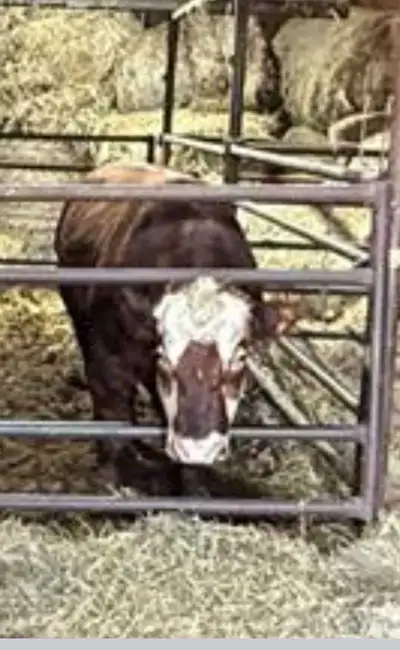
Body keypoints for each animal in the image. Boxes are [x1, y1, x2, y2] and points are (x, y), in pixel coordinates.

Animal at [54, 163, 296, 489]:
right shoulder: (107, 355)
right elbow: (112, 410)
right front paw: (112, 476)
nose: (199, 447)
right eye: (165, 361)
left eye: (240, 359)